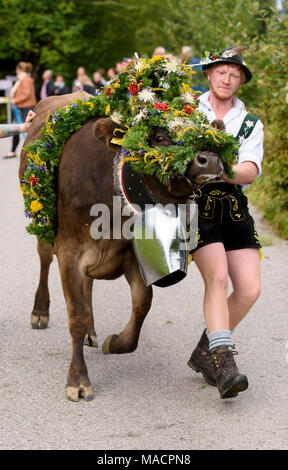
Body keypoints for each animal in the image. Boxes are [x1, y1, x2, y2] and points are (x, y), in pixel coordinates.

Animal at [19, 91, 224, 400]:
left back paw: (91, 331)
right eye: (159, 137)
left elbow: (141, 305)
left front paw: (115, 342)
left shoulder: (130, 254)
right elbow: (76, 314)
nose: (210, 159)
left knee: (89, 286)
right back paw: (40, 312)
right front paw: (78, 380)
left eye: (205, 133)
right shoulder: (69, 252)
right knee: (44, 261)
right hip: (44, 226)